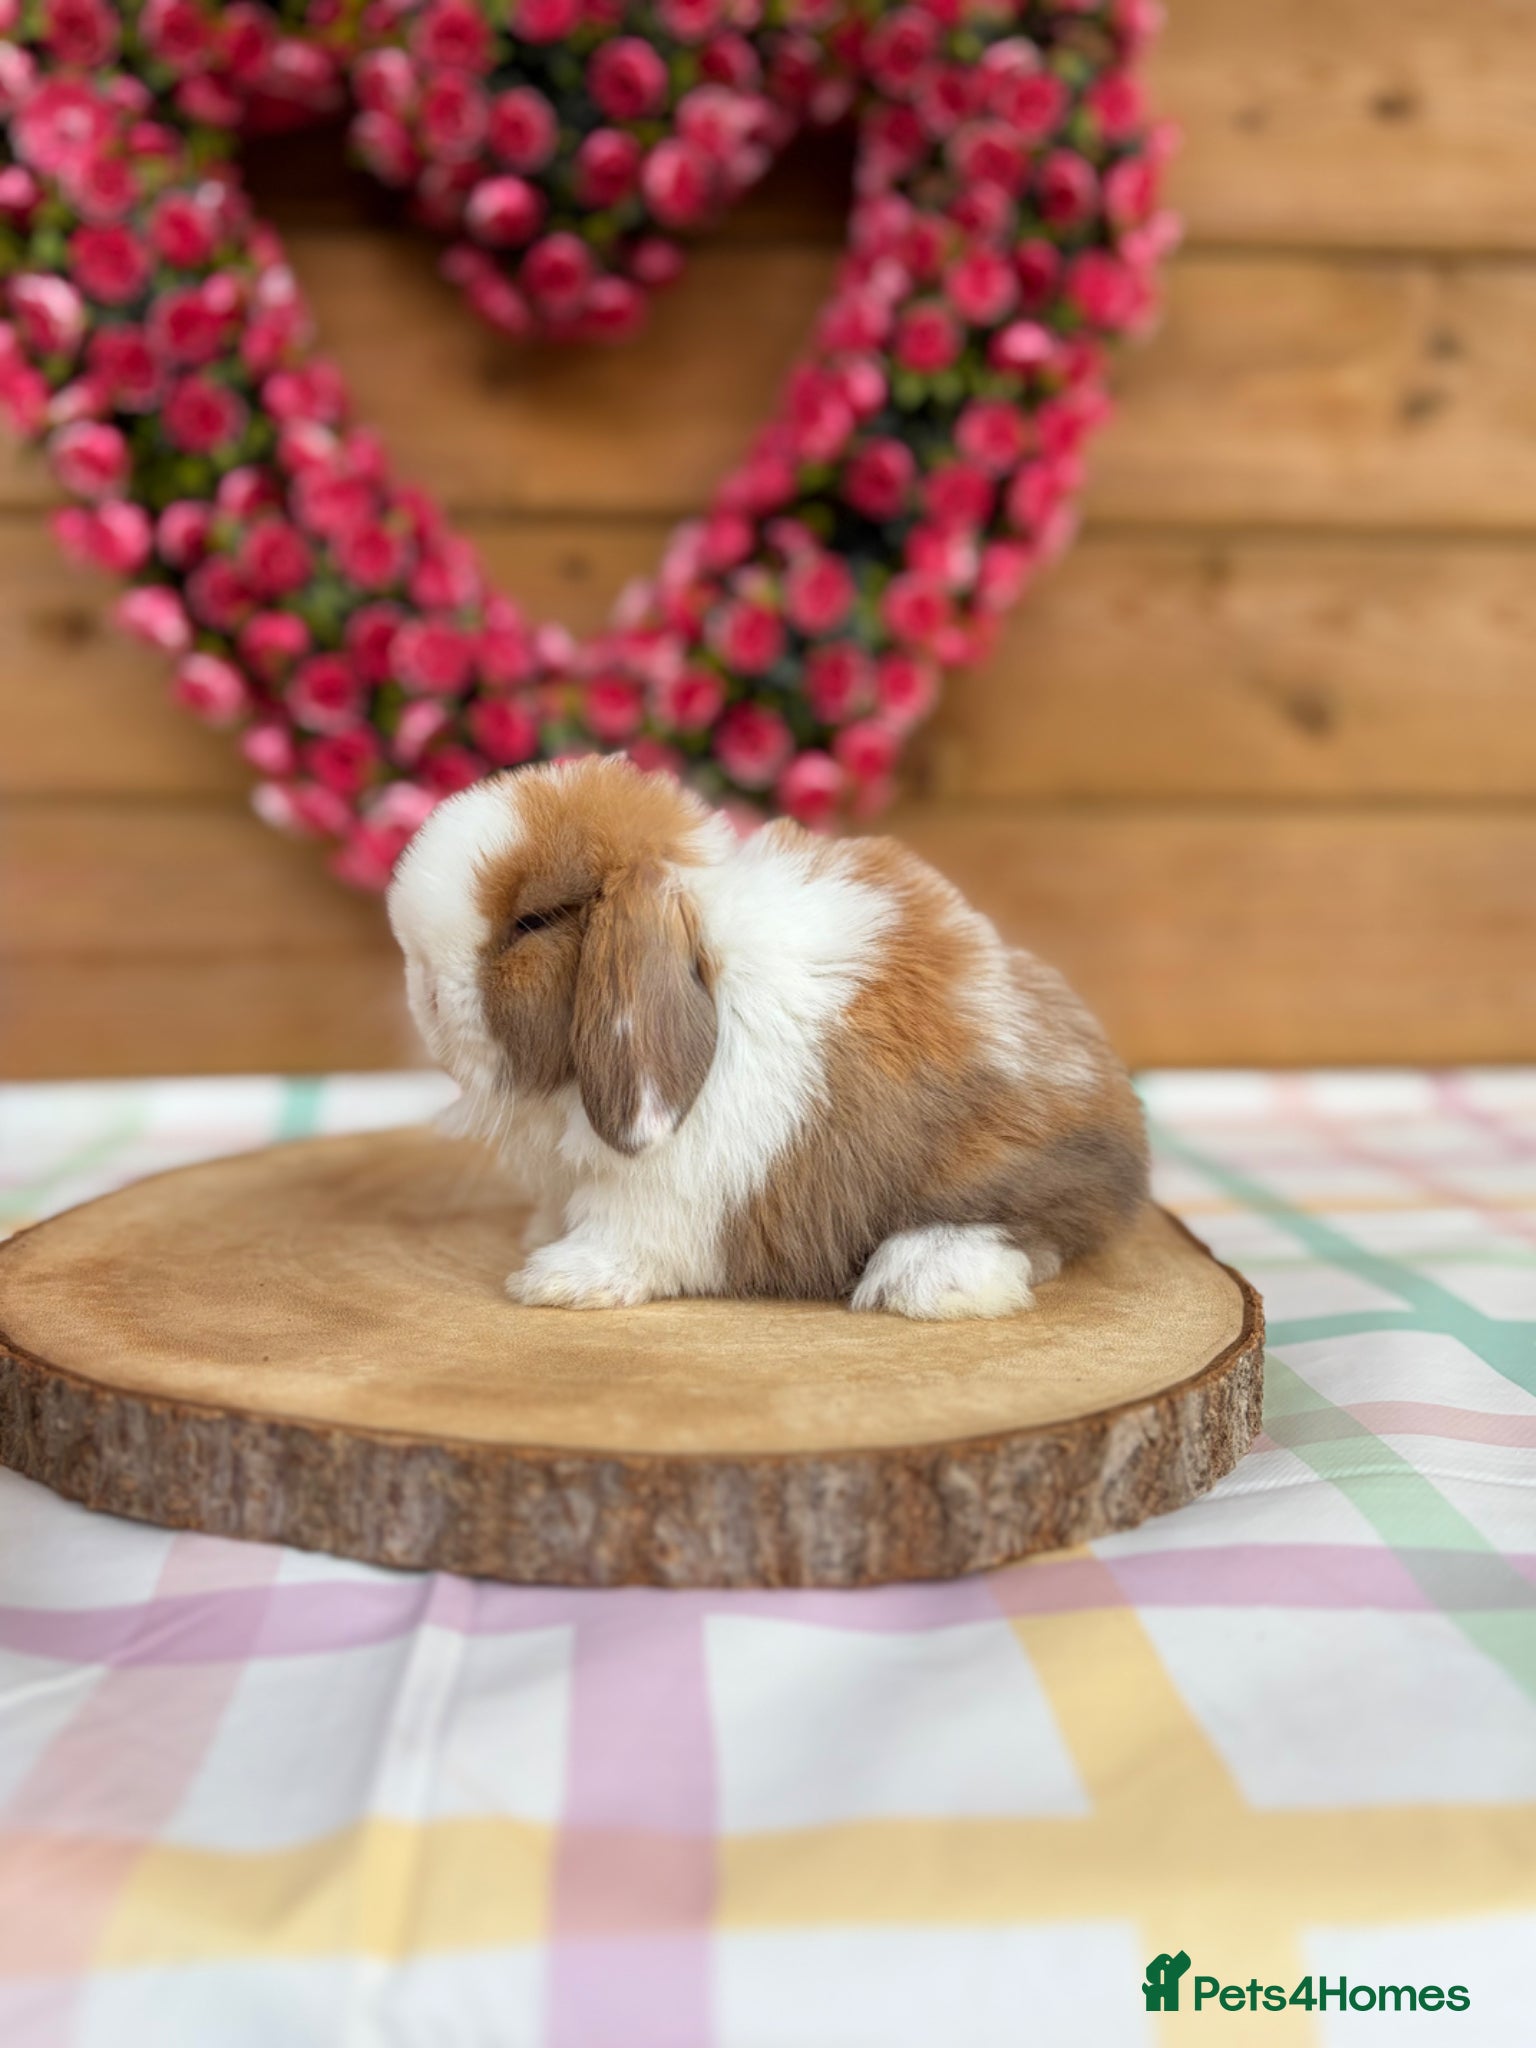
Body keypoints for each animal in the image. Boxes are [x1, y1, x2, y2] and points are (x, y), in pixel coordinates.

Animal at [387, 755, 1149, 1319]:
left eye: (534, 921)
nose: (422, 990)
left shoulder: (670, 1186)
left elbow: (628, 1233)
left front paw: (557, 1279)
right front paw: (543, 1235)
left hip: (993, 1161)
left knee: (1033, 1234)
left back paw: (925, 1281)